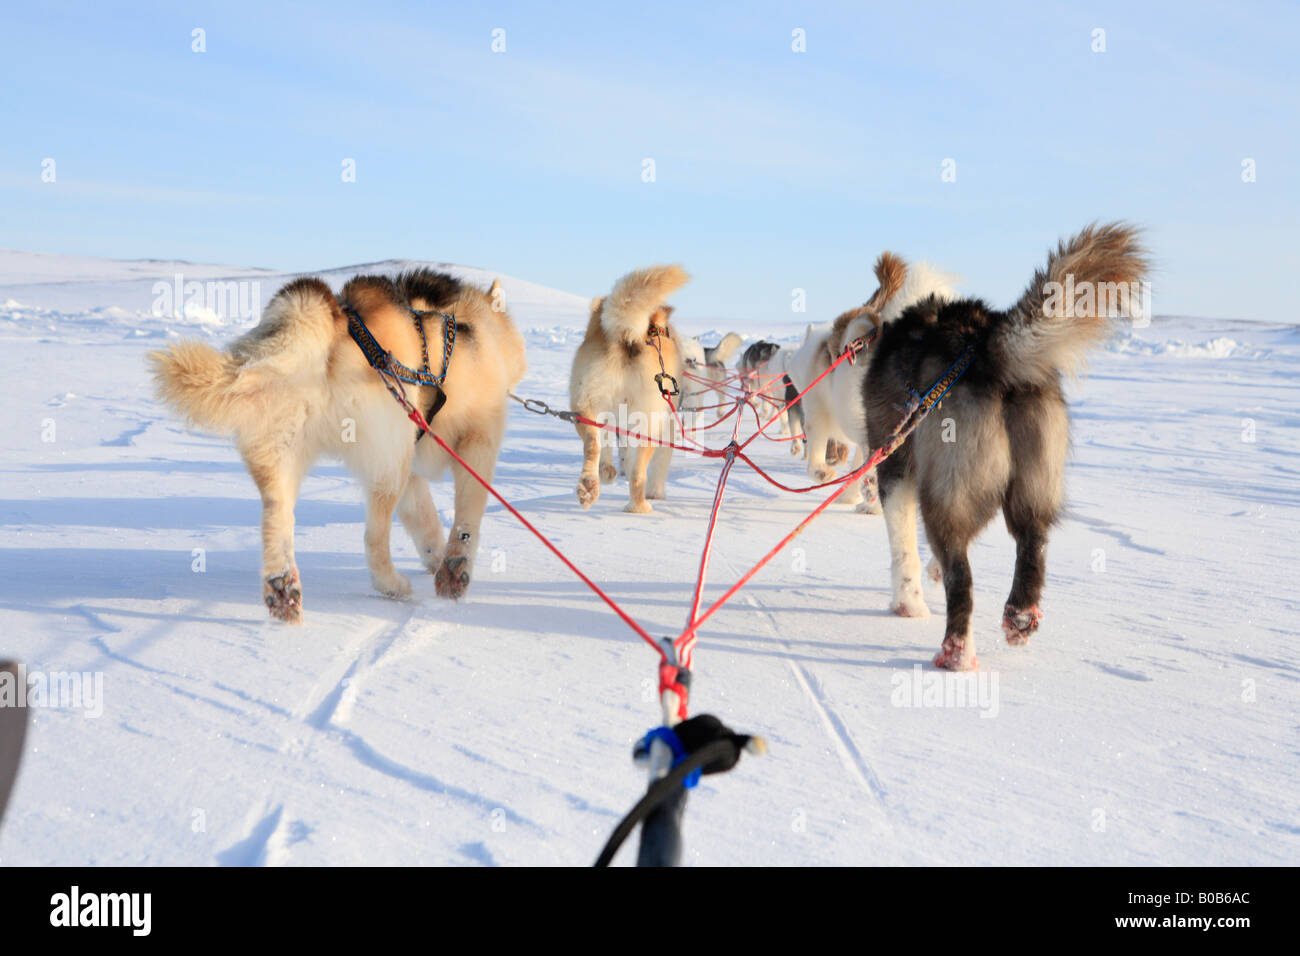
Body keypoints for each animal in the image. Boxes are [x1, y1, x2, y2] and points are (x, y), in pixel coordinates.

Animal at [156, 269, 527, 621]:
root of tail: (331, 320)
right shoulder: (477, 442)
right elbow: (466, 517)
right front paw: (453, 568)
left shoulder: (413, 467)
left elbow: (425, 520)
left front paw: (436, 558)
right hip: (389, 463)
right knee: (374, 539)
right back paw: (392, 585)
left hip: (284, 453)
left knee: (278, 515)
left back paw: (282, 586)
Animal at [569, 265, 691, 512]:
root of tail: (627, 334)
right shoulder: (667, 426)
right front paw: (657, 493)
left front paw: (607, 471)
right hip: (649, 423)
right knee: (638, 474)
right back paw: (639, 506)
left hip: (584, 405)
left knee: (593, 444)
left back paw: (590, 485)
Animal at [868, 223, 1154, 671]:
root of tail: (989, 348)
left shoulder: (894, 465)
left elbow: (903, 549)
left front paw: (907, 603)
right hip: (1030, 482)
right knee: (1032, 542)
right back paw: (1019, 617)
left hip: (946, 490)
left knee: (962, 578)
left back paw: (956, 652)